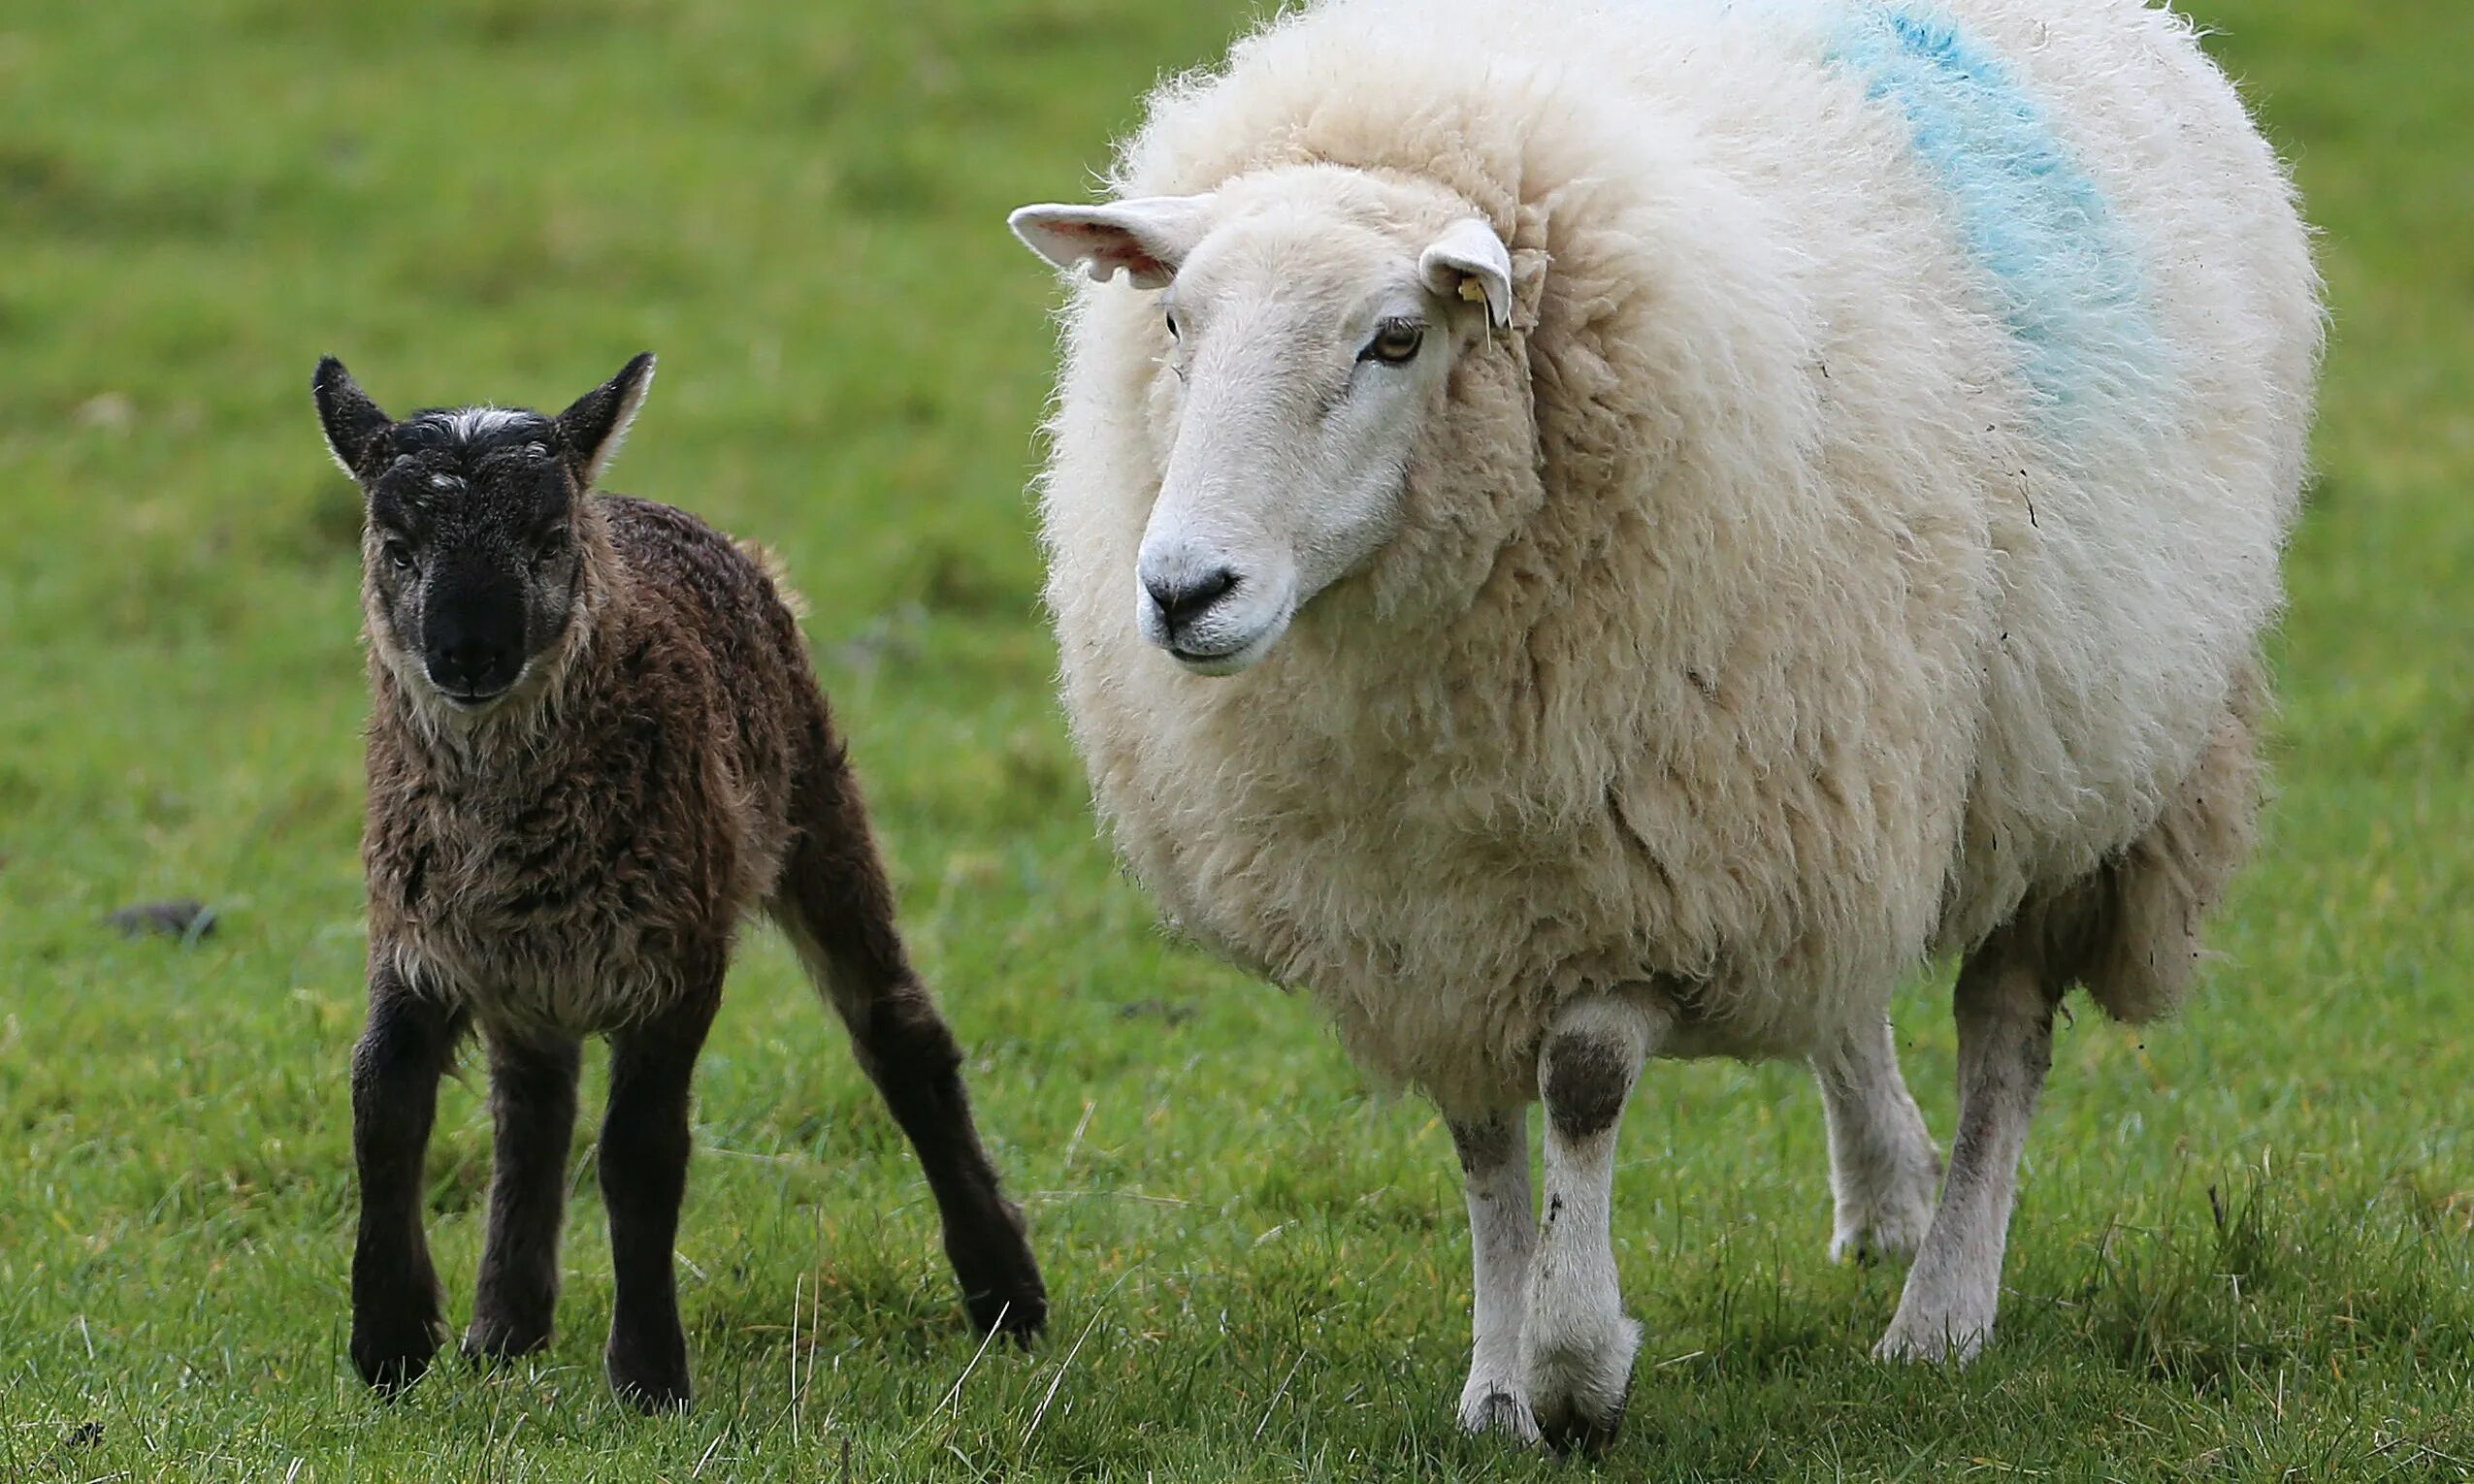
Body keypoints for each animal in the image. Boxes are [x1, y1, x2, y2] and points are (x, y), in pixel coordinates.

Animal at [311, 353, 1044, 1404]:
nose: (469, 652)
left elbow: (641, 1150)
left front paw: (650, 1374)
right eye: (397, 545)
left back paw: (1006, 1291)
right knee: (532, 1111)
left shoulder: (676, 953)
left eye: (549, 540)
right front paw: (389, 1341)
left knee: (903, 1035)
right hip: (529, 971)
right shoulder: (420, 938)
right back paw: (505, 1328)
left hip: (813, 802)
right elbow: (381, 1106)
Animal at [1004, 0, 2315, 1444]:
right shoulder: (1437, 913)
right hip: (1839, 768)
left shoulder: (1637, 874)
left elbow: (1581, 1086)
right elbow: (1481, 1138)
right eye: (1177, 320)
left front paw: (1575, 1367)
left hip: (2082, 764)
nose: (1185, 591)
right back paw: (1888, 1194)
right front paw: (1497, 1384)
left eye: (1395, 339)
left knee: (2004, 1029)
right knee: (1851, 994)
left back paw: (1941, 1307)